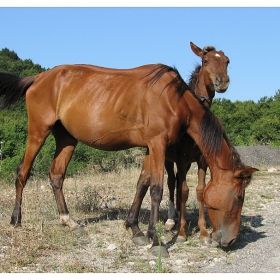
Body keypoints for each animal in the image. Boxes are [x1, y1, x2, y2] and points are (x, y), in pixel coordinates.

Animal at [0, 44, 258, 258]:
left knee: (56, 175)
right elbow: (156, 190)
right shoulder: (158, 144)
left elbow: (142, 184)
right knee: (23, 172)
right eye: (239, 197)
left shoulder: (151, 148)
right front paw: (155, 240)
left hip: (66, 138)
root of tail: (39, 77)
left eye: (228, 61)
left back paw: (68, 220)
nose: (230, 240)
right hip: (38, 131)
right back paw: (16, 219)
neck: (174, 99)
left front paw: (135, 229)